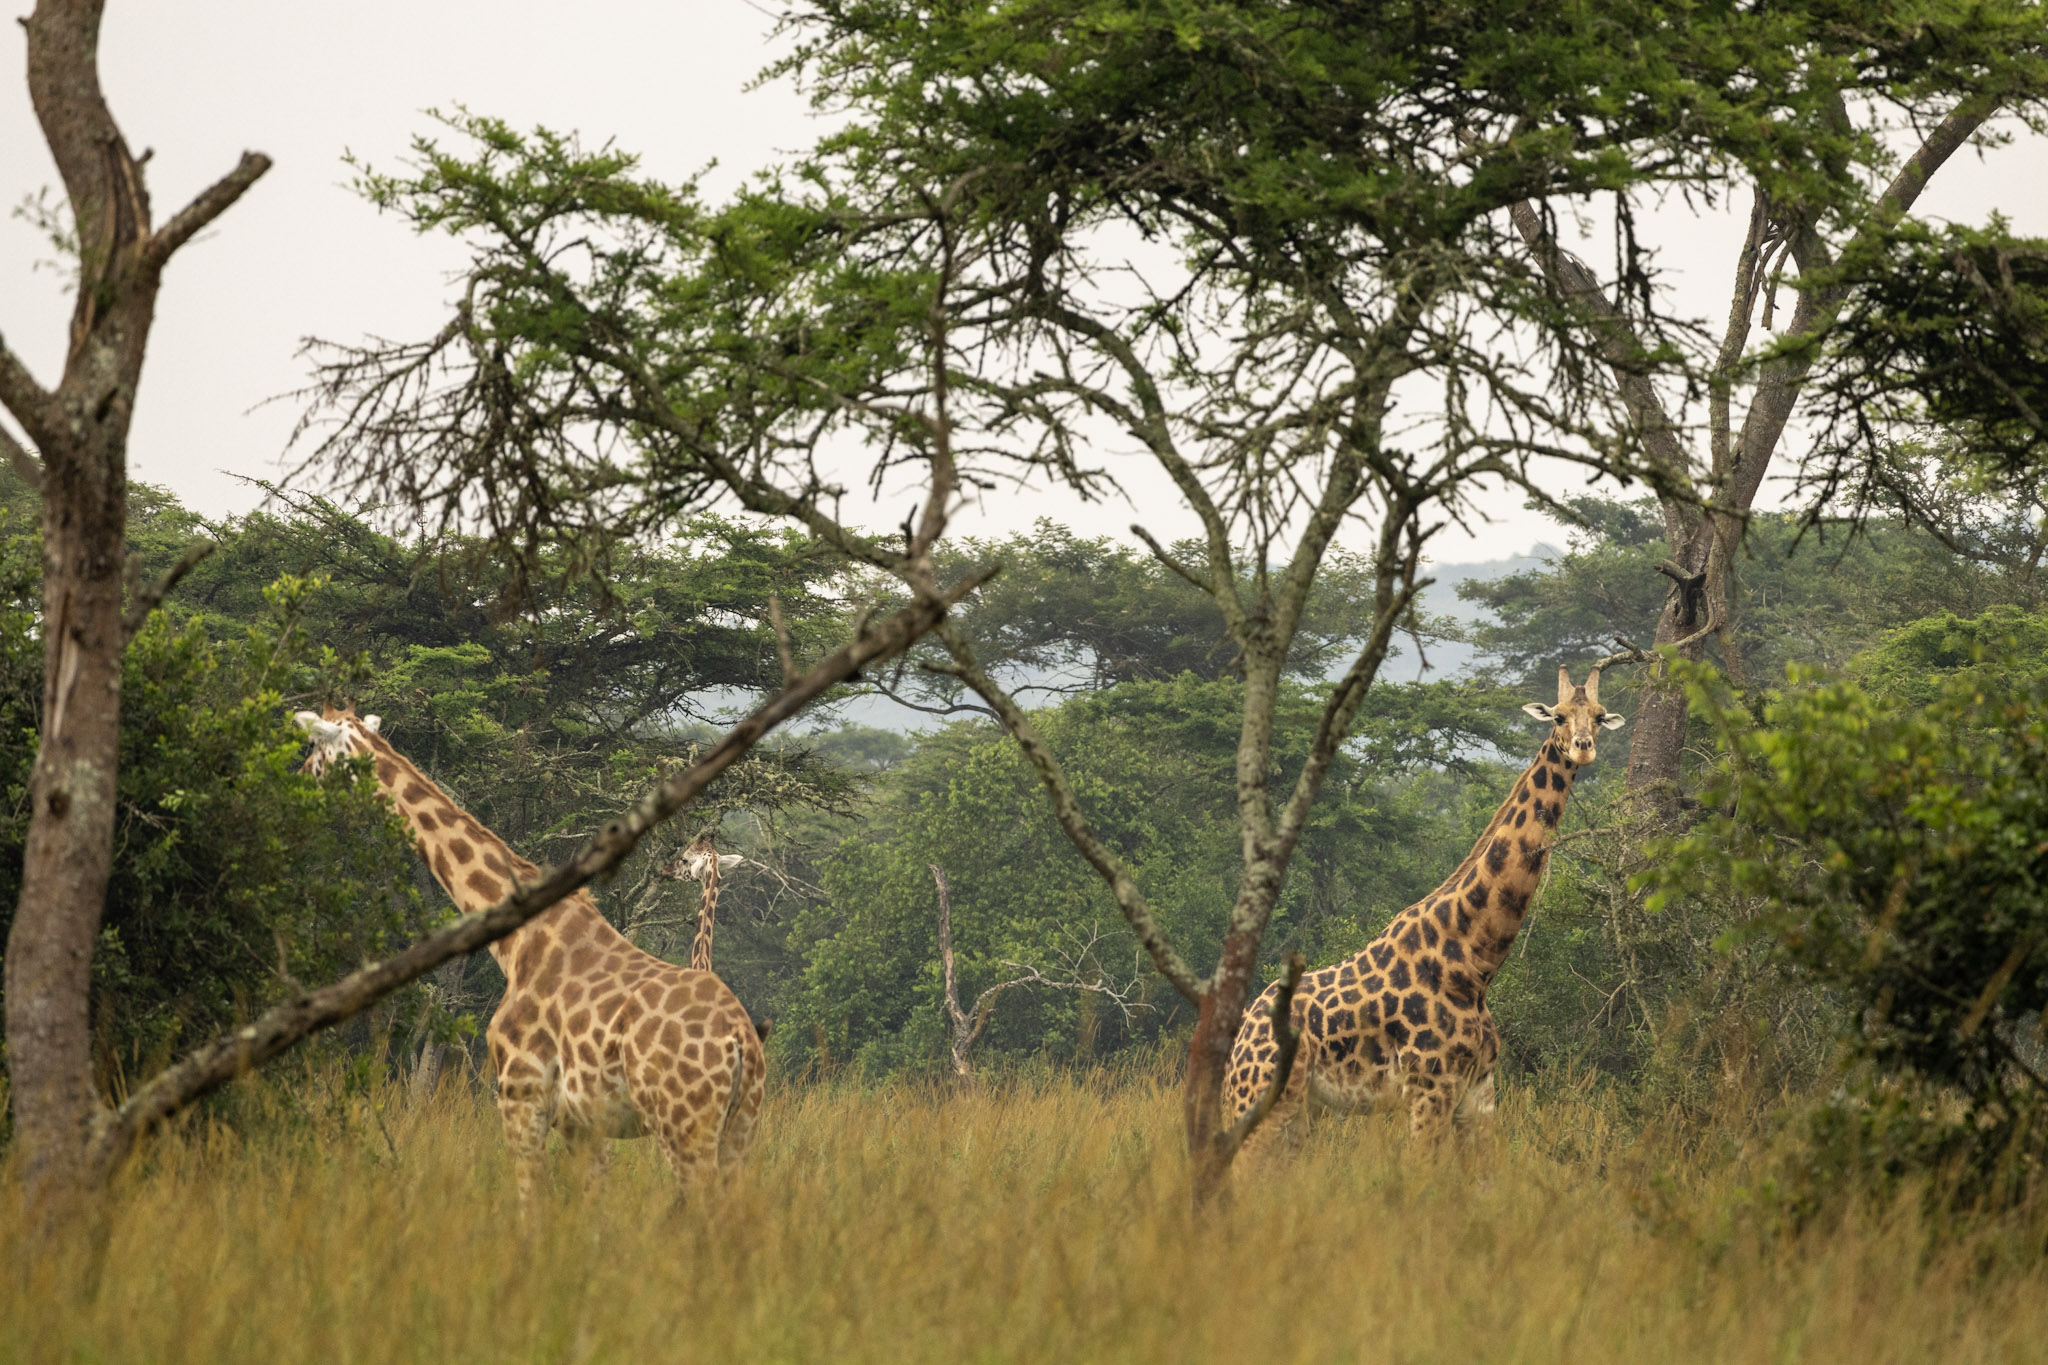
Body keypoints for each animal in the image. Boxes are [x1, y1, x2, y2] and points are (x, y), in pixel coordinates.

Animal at [292, 703, 765, 1203]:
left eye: (315, 745)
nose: (298, 776)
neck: (518, 944)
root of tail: (740, 1042)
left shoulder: (522, 1092)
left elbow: (531, 1204)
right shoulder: (581, 1123)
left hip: (684, 1121)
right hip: (740, 1126)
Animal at [1220, 667, 1622, 1162]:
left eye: (1600, 716)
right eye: (1560, 715)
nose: (1584, 747)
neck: (1475, 963)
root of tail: (1243, 1033)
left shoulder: (1479, 1090)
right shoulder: (1431, 1085)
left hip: (1300, 1107)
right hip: (1259, 1094)